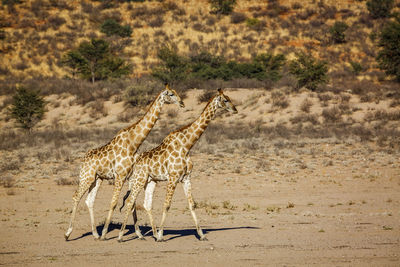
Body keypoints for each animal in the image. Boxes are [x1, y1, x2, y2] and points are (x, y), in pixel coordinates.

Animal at [65, 84, 185, 243]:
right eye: (171, 94)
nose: (182, 103)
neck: (133, 143)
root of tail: (83, 161)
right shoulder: (120, 175)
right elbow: (114, 202)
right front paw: (106, 233)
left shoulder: (129, 176)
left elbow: (131, 202)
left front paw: (139, 234)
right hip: (87, 177)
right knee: (76, 196)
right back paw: (68, 234)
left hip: (97, 179)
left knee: (89, 201)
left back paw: (95, 234)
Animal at [117, 88, 236, 243]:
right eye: (225, 100)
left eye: (229, 98)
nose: (235, 109)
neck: (187, 146)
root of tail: (134, 163)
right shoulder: (173, 177)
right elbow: (167, 205)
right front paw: (161, 235)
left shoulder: (186, 178)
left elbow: (192, 205)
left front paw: (202, 235)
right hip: (139, 179)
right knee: (130, 201)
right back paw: (121, 236)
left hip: (150, 181)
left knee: (144, 204)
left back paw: (149, 234)